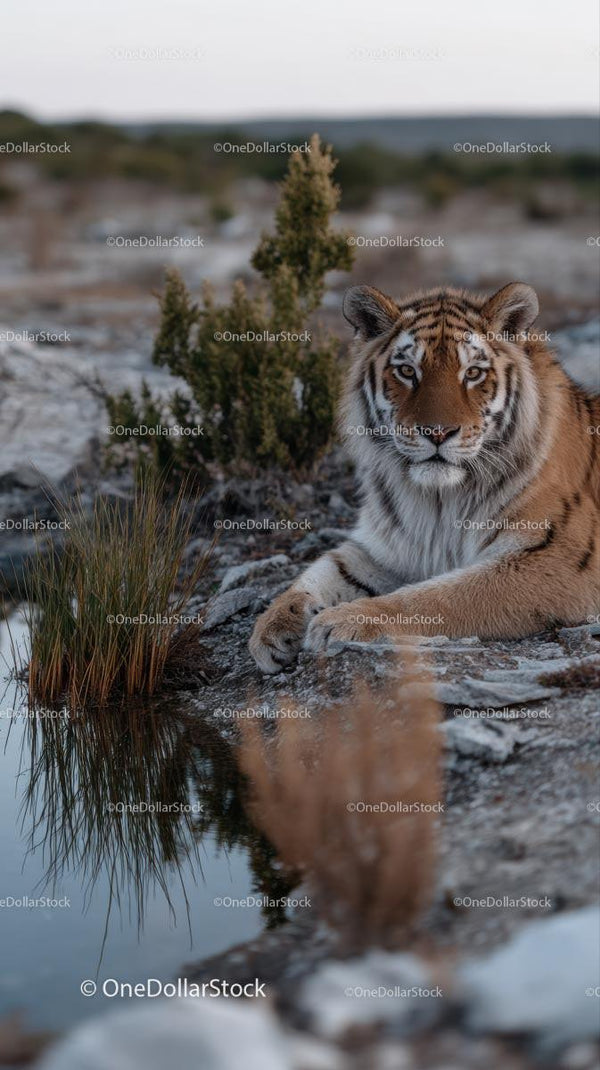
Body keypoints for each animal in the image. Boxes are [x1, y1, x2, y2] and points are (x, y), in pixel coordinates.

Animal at [249, 281, 600, 673]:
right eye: (406, 371)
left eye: (473, 373)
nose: (437, 432)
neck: (438, 499)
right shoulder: (389, 547)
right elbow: (326, 569)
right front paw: (274, 624)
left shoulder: (558, 557)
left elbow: (437, 597)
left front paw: (342, 621)